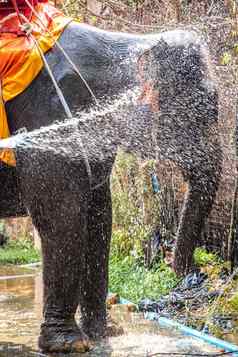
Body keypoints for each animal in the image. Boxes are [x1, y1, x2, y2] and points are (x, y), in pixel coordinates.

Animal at [0, 23, 221, 354]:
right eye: (198, 112)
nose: (198, 273)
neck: (124, 46)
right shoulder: (50, 118)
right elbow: (62, 216)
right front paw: (69, 344)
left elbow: (100, 215)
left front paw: (105, 334)